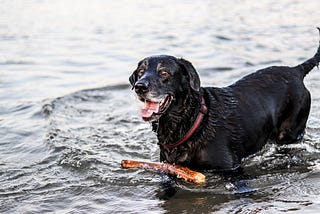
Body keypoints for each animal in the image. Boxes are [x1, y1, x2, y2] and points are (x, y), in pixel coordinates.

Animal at [129, 30, 318, 171]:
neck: (192, 121)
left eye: (164, 73)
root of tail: (296, 71)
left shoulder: (231, 168)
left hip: (290, 131)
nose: (140, 86)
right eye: (140, 72)